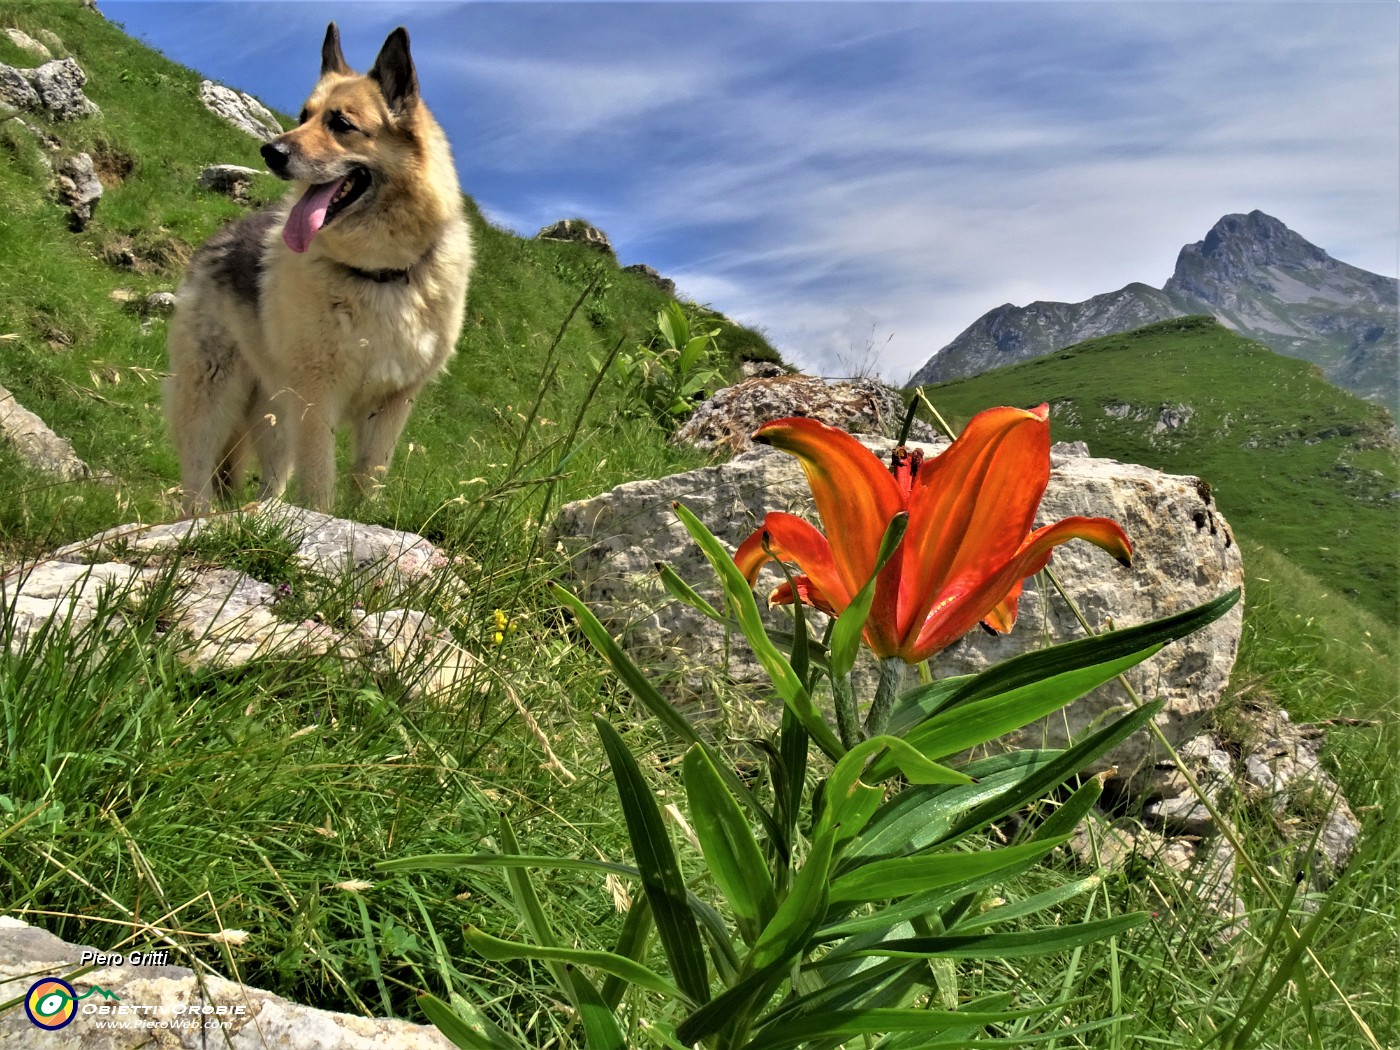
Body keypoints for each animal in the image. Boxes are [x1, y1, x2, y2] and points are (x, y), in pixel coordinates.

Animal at [165, 22, 473, 515]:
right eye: (303, 116)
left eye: (341, 124)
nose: (270, 151)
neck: (377, 273)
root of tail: (223, 235)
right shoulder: (317, 399)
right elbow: (321, 483)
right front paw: (324, 524)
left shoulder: (390, 407)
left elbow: (367, 481)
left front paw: (360, 524)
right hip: (213, 397)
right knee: (197, 476)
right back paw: (197, 520)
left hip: (276, 416)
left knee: (269, 481)